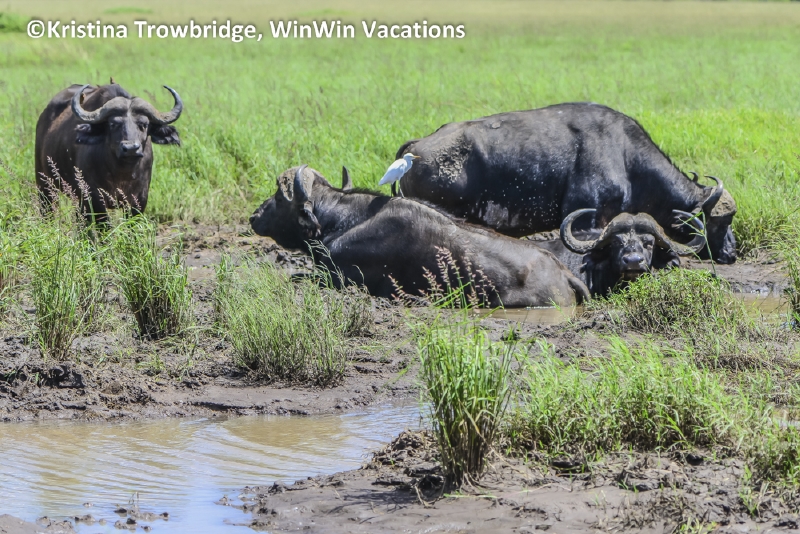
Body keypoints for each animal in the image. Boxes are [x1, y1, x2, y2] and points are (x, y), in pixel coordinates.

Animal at [35, 82, 183, 219]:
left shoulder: (140, 198)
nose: (130, 148)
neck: (122, 172)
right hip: (44, 183)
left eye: (144, 124)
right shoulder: (94, 197)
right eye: (113, 124)